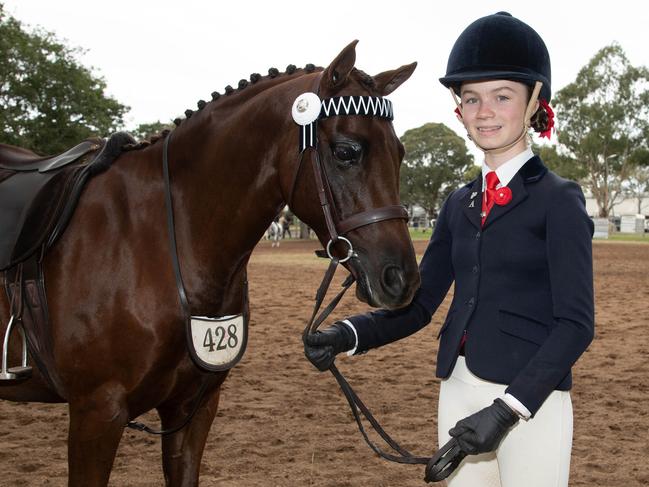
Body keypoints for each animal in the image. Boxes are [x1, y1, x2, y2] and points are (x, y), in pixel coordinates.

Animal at [0, 40, 416, 486]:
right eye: (346, 151)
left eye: (400, 153)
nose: (401, 278)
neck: (157, 240)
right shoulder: (96, 413)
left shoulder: (193, 409)